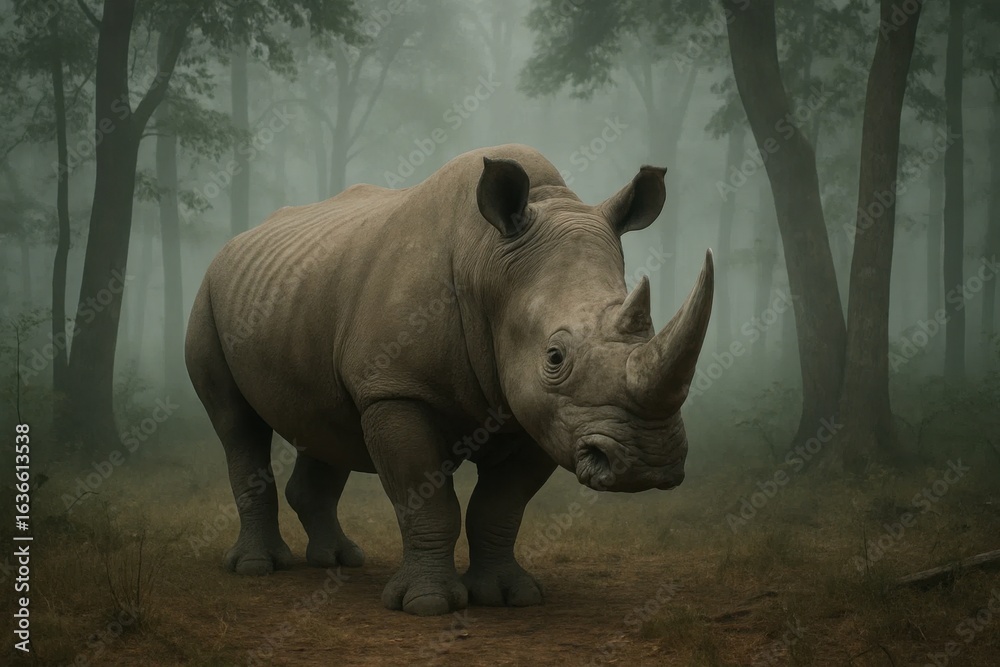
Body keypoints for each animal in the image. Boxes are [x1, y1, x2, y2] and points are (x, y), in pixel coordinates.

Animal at [185, 144, 713, 616]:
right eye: (554, 357)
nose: (646, 464)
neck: (489, 262)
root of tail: (236, 242)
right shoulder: (397, 389)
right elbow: (426, 499)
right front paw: (428, 605)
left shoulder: (539, 415)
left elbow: (500, 507)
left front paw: (507, 596)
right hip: (209, 293)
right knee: (237, 425)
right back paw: (257, 567)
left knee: (326, 421)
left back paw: (340, 561)